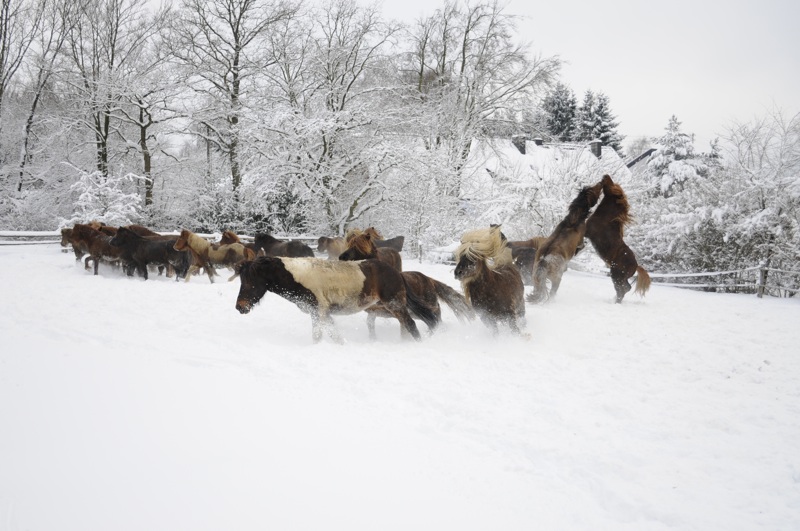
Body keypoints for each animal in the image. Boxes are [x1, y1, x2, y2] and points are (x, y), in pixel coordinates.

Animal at [233, 258, 432, 344]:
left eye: (250, 282)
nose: (240, 307)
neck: (300, 278)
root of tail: (396, 272)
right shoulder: (322, 313)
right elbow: (334, 335)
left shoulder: (318, 311)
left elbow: (318, 336)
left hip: (395, 305)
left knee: (411, 324)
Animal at [584, 175, 652, 304]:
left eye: (613, 185)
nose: (605, 175)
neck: (604, 218)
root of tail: (636, 266)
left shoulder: (587, 231)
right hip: (619, 276)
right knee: (625, 288)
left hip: (616, 274)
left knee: (623, 288)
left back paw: (616, 302)